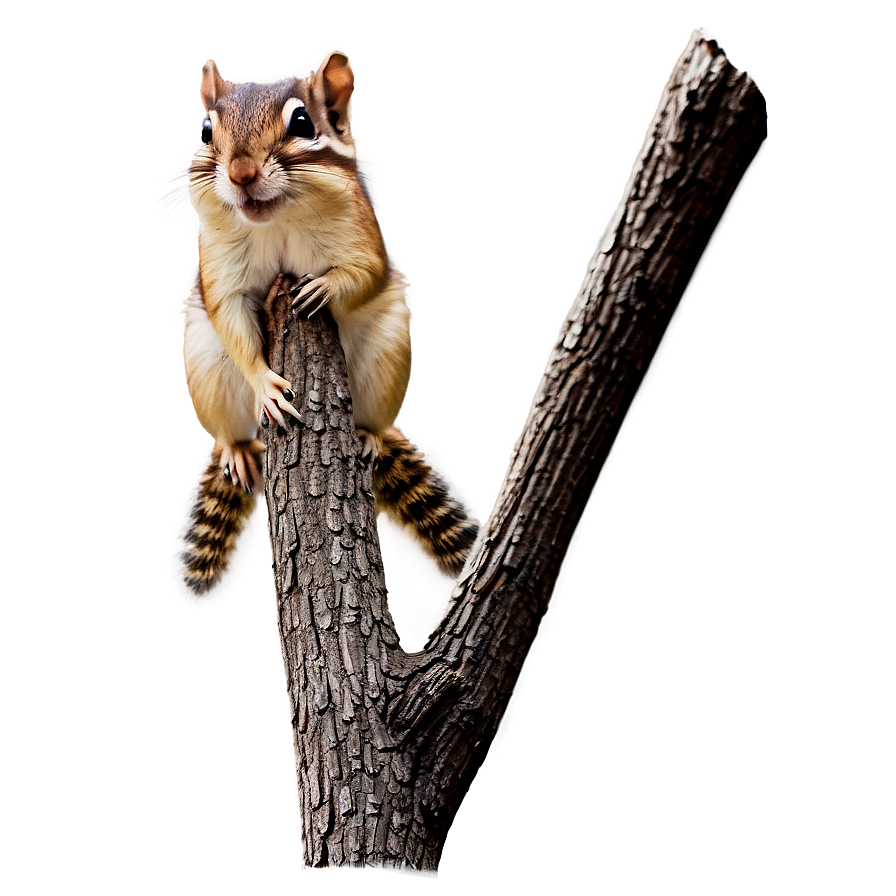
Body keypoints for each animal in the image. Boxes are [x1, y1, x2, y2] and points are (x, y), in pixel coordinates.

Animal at [175, 52, 478, 599]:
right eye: (205, 130)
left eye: (302, 123)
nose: (242, 172)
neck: (274, 220)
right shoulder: (221, 277)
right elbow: (231, 320)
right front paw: (267, 386)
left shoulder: (364, 238)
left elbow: (365, 273)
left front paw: (324, 288)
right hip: (205, 367)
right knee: (232, 427)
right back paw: (238, 450)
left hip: (387, 351)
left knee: (373, 420)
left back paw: (370, 438)